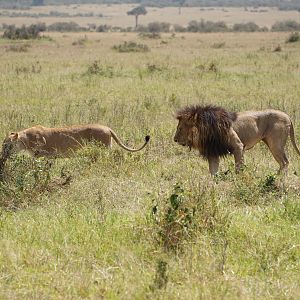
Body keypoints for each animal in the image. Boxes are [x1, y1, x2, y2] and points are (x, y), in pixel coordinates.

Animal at [0, 123, 150, 163]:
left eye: (7, 145)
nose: (3, 155)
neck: (24, 139)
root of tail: (107, 128)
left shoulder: (42, 155)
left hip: (103, 149)